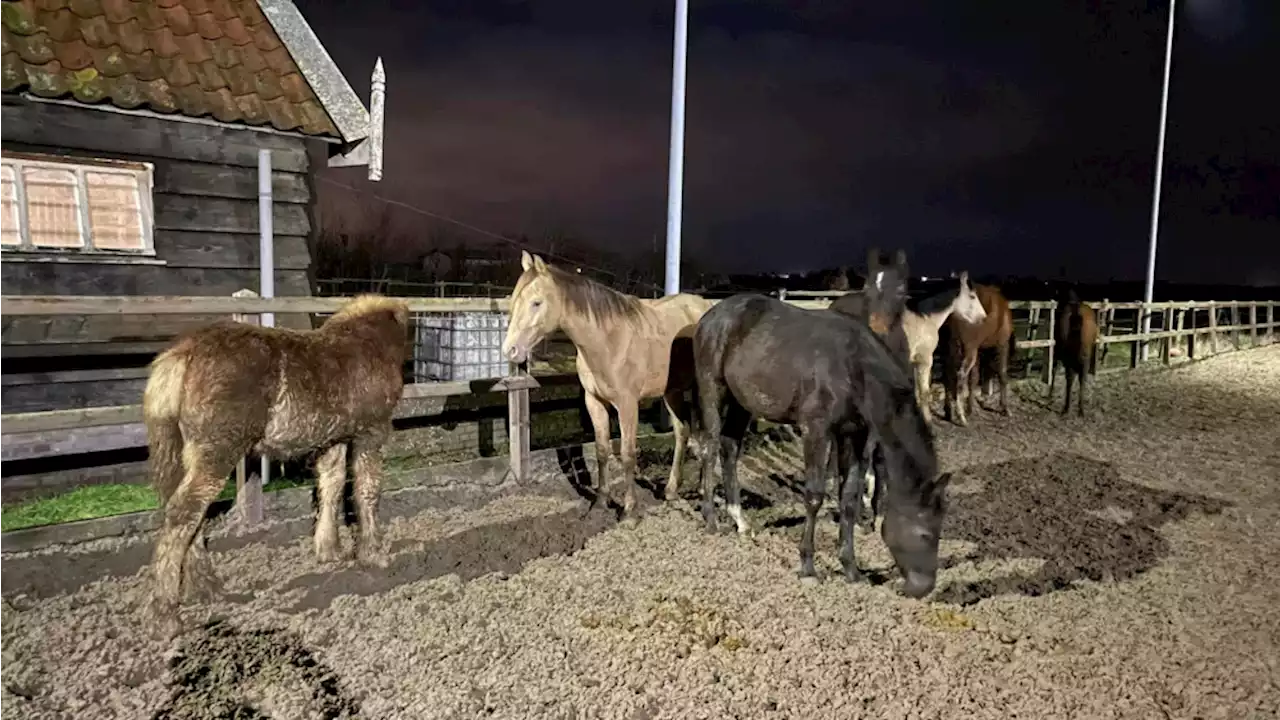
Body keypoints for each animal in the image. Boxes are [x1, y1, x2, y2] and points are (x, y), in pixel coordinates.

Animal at [144, 294, 409, 635]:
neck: (370, 343)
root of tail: (181, 355)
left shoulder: (333, 438)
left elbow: (331, 485)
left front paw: (328, 550)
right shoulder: (371, 432)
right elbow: (367, 491)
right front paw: (372, 554)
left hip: (174, 450)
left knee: (185, 513)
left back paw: (205, 587)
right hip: (217, 451)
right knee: (185, 510)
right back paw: (166, 614)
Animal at [499, 251, 716, 515]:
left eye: (537, 303)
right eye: (515, 299)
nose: (510, 350)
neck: (608, 341)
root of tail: (707, 306)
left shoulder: (627, 404)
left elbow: (627, 453)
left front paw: (629, 509)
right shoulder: (594, 401)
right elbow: (602, 450)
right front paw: (601, 501)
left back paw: (704, 490)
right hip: (672, 391)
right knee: (682, 432)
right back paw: (672, 491)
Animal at [936, 280, 1013, 425]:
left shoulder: (979, 349)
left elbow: (974, 379)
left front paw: (970, 409)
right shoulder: (1002, 345)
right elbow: (1002, 374)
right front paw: (1005, 408)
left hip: (951, 348)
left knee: (947, 375)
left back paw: (949, 412)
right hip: (968, 351)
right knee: (960, 375)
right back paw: (960, 417)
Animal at [1049, 285, 1100, 415]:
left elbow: (1054, 370)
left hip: (1070, 358)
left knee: (1071, 379)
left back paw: (1068, 407)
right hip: (1083, 358)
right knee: (1081, 379)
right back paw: (1079, 409)